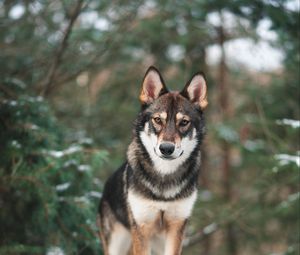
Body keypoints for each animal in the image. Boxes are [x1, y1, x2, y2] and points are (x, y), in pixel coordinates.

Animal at [97, 66, 207, 255]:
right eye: (157, 120)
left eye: (184, 122)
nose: (166, 148)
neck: (164, 177)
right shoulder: (142, 227)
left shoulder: (176, 228)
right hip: (117, 244)